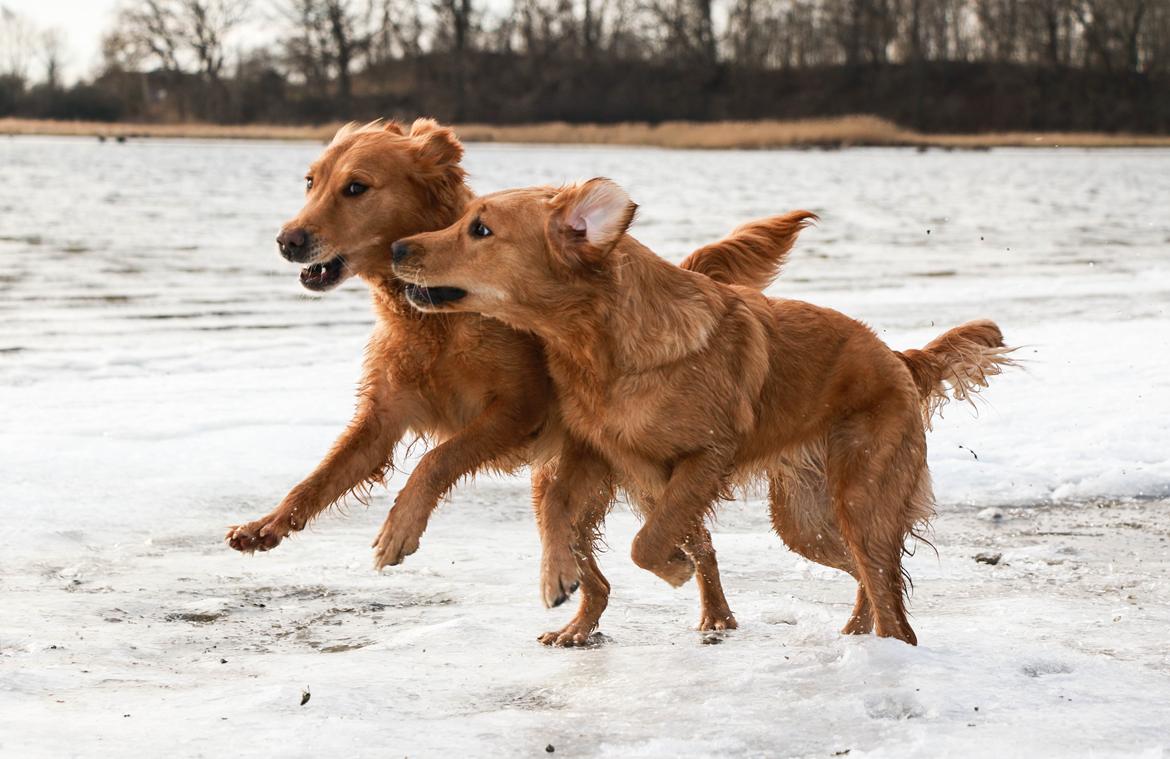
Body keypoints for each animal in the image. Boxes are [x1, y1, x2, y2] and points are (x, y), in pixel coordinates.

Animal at [226, 121, 809, 631]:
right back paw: (575, 620)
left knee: (696, 544)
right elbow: (319, 477)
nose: (287, 240)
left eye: (356, 187)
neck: (434, 322)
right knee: (590, 565)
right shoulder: (383, 416)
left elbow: (439, 460)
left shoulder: (516, 408)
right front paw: (265, 526)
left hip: (637, 475)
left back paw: (715, 614)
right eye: (310, 181)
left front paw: (399, 528)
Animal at [393, 178, 1015, 645]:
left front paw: (670, 568)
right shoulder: (594, 454)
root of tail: (899, 358)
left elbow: (646, 543)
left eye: (480, 229)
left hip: (859, 495)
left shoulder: (705, 457)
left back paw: (886, 646)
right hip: (805, 520)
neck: (604, 345)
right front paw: (563, 579)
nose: (397, 248)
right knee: (863, 571)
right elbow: (566, 520)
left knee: (885, 582)